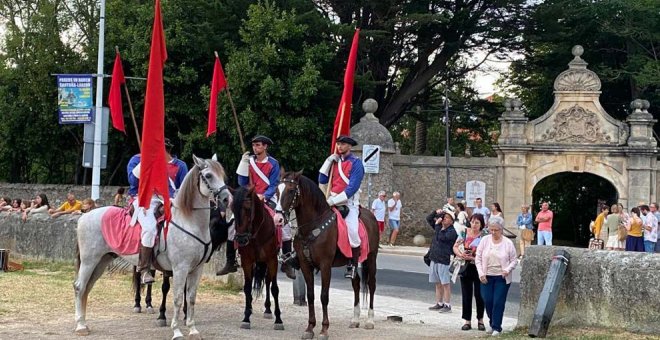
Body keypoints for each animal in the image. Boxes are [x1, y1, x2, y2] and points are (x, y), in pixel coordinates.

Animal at [72, 156, 231, 340]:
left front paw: (193, 330)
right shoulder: (180, 268)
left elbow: (191, 298)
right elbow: (177, 298)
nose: (227, 199)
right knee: (80, 287)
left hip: (101, 261)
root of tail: (85, 216)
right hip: (89, 261)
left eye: (222, 175)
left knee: (87, 287)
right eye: (209, 175)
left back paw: (84, 323)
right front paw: (176, 331)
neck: (189, 222)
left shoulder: (196, 269)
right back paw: (80, 326)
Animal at [232, 185, 284, 330]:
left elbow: (274, 289)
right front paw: (246, 317)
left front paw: (278, 320)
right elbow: (247, 288)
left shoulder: (272, 260)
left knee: (268, 281)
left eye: (248, 209)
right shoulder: (247, 261)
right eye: (232, 209)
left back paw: (268, 310)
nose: (241, 239)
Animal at [274, 171, 378, 338]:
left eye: (290, 190)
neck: (312, 227)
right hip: (354, 263)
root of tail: (371, 215)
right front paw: (310, 328)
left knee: (371, 284)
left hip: (371, 258)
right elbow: (311, 295)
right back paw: (355, 319)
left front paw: (324, 329)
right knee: (356, 283)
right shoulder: (305, 265)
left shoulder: (325, 266)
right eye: (277, 191)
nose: (278, 219)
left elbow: (324, 296)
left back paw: (370, 320)